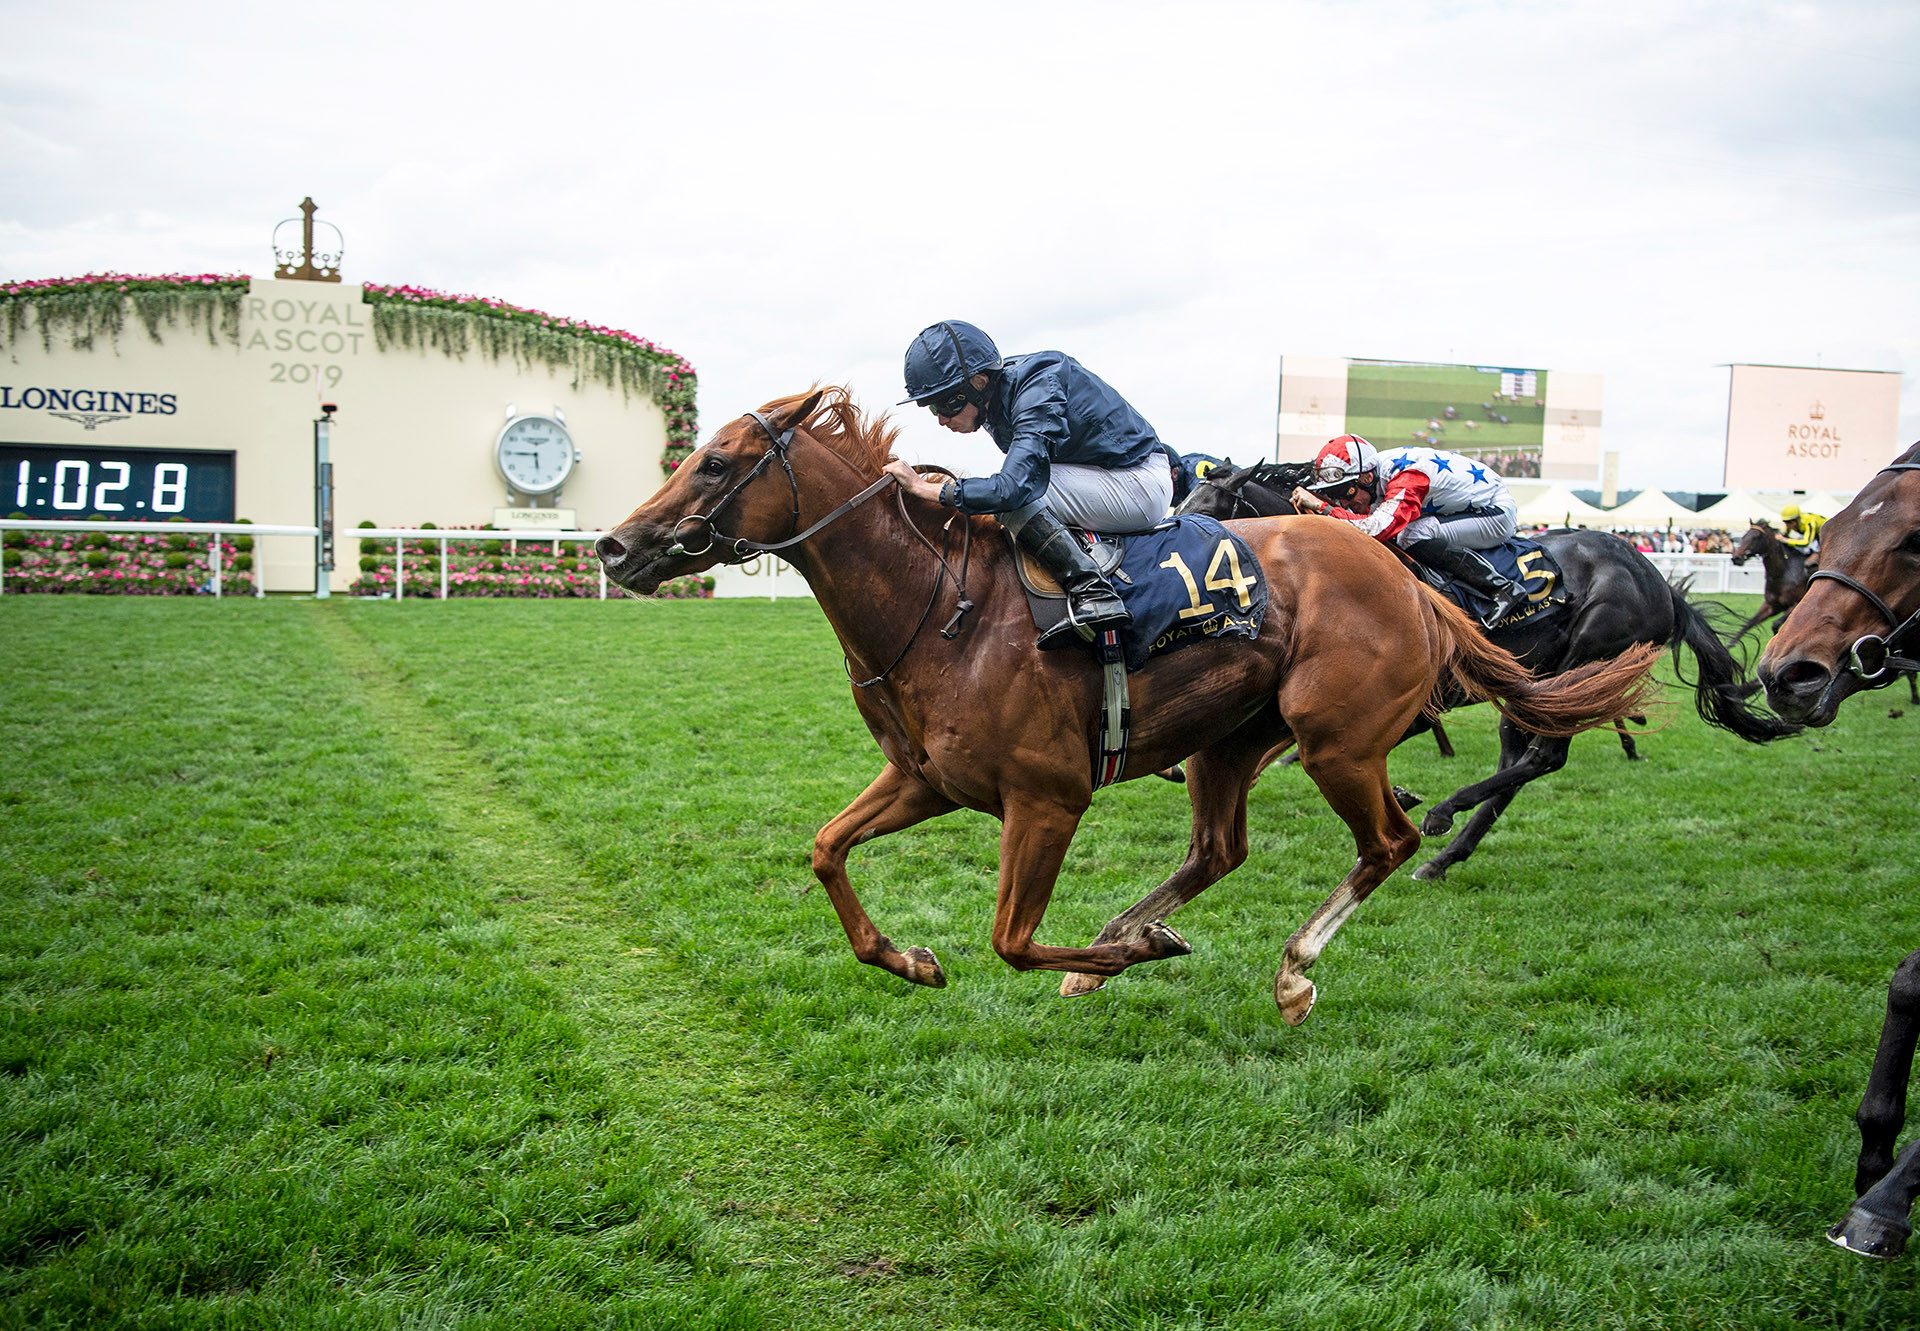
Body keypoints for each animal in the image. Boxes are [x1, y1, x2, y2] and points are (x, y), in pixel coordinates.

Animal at [591, 389, 1658, 1021]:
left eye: (716, 463)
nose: (612, 545)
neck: (940, 606)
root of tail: (1408, 580)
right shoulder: (927, 779)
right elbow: (825, 850)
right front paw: (912, 957)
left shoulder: (1048, 796)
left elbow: (1010, 939)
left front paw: (1124, 952)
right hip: (1232, 741)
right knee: (1218, 849)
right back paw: (1132, 933)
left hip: (1336, 741)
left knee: (1386, 840)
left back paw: (1293, 964)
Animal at [1175, 462, 1789, 875]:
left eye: (1208, 512)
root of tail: (1662, 585)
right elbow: (1265, 753)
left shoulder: (1413, 697)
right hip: (1535, 686)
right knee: (1521, 762)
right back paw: (1446, 856)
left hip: (1585, 660)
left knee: (1544, 755)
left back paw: (1446, 813)